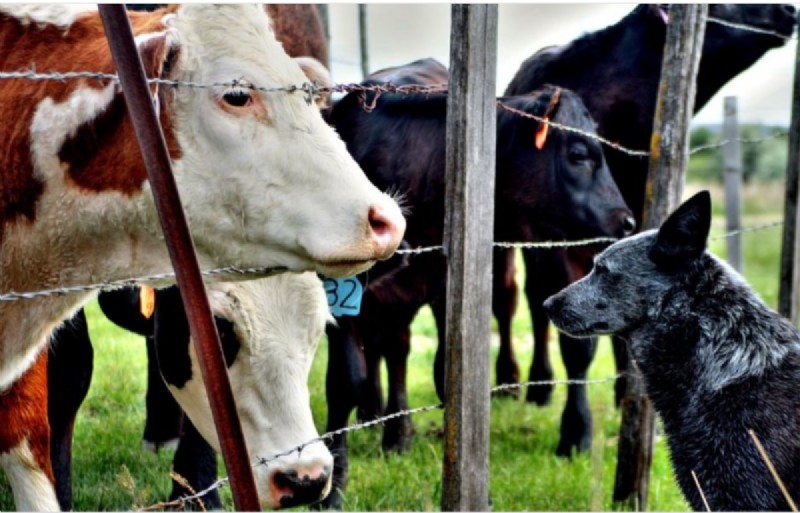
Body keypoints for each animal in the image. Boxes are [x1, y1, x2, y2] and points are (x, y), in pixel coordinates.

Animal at [318, 57, 636, 508]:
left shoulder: (441, 284)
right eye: (578, 154)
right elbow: (347, 380)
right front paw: (333, 487)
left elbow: (445, 373)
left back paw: (398, 435)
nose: (626, 221)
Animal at [496, 4, 796, 454]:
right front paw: (576, 431)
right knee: (521, 300)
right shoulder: (560, 242)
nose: (788, 10)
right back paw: (533, 384)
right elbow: (577, 341)